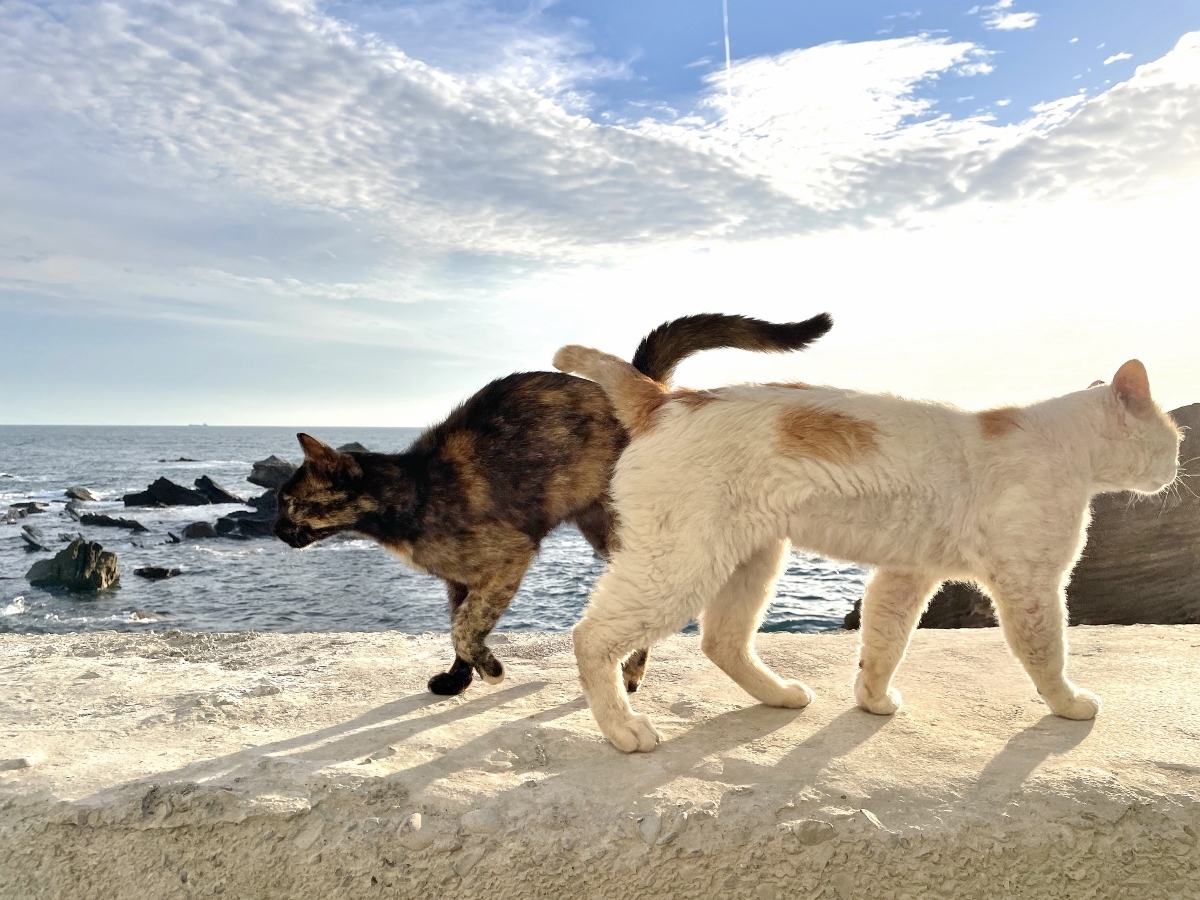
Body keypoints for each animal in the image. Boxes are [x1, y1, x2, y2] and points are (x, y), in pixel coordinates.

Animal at [274, 314, 830, 696]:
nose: (277, 532)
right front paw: (457, 681)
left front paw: (491, 669)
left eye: (289, 502)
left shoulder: (506, 559)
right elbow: (456, 629)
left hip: (624, 531)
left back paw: (630, 673)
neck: (412, 491)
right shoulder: (459, 581)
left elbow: (464, 629)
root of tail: (642, 391)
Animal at [552, 345, 1180, 753]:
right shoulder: (1030, 584)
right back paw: (623, 730)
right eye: (1174, 438)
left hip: (751, 558)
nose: (1176, 468)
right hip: (681, 565)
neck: (1063, 447)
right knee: (590, 637)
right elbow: (1047, 654)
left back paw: (779, 695)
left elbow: (883, 642)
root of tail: (666, 398)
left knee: (722, 640)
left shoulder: (905, 575)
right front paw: (1069, 705)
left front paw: (872, 700)